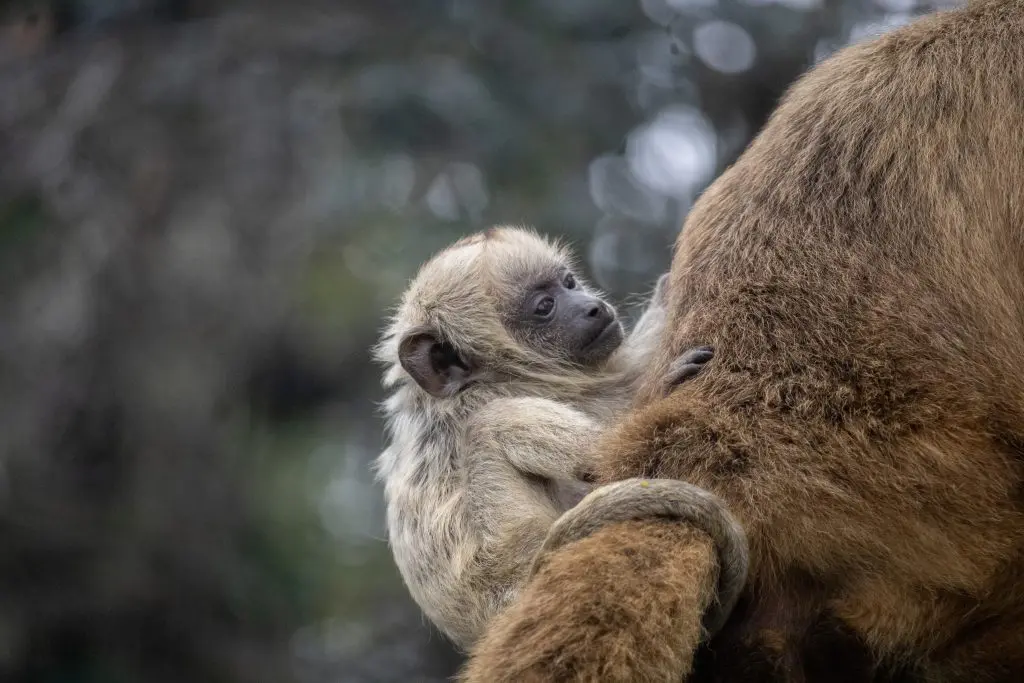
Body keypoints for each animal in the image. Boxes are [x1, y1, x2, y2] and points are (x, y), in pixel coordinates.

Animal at [372, 227, 716, 651]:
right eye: (544, 306)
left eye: (568, 283)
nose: (591, 307)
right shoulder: (486, 397)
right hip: (509, 548)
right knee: (497, 426)